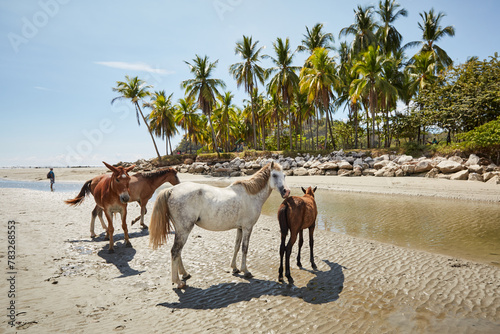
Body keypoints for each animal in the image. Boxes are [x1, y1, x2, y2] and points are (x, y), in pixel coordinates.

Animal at [149, 161, 290, 288]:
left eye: (284, 175)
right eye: (274, 175)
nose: (286, 192)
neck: (251, 195)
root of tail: (171, 190)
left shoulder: (240, 228)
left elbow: (236, 246)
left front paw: (234, 268)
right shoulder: (247, 228)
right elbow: (244, 248)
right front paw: (246, 271)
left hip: (180, 230)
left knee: (178, 252)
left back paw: (185, 274)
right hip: (184, 230)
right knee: (175, 251)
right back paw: (178, 282)